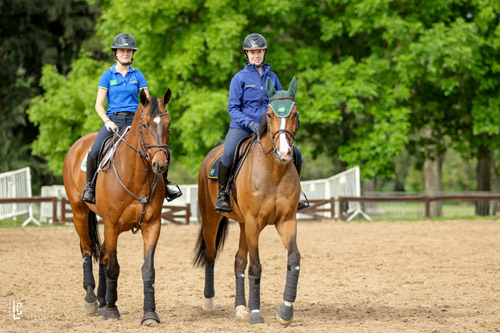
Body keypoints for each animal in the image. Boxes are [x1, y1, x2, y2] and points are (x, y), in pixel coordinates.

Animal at [63, 89, 172, 324]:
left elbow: (148, 269)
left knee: (103, 253)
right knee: (87, 250)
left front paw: (149, 313)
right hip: (79, 212)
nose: (160, 164)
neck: (137, 175)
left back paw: (102, 299)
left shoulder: (152, 225)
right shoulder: (112, 224)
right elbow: (113, 267)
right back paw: (92, 300)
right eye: (144, 125)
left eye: (168, 124)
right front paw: (112, 310)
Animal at [194, 76, 300, 324]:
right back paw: (209, 303)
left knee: (239, 260)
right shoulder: (254, 223)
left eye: (295, 114)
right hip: (213, 221)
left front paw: (285, 310)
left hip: (243, 225)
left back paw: (241, 307)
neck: (273, 171)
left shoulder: (287, 221)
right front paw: (256, 313)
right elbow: (256, 267)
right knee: (211, 256)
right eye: (269, 114)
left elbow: (293, 259)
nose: (284, 153)